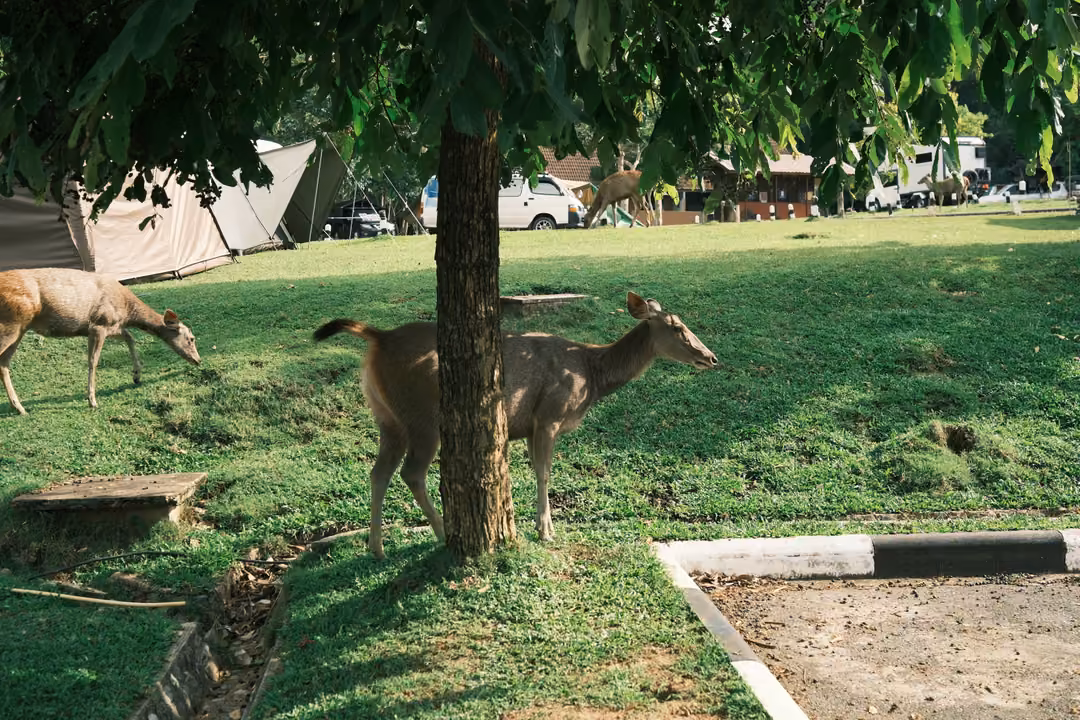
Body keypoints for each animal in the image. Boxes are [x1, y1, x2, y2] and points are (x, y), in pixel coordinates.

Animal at [0, 268, 201, 415]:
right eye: (191, 339)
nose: (198, 360)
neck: (127, 311)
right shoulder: (98, 324)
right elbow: (93, 361)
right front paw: (92, 400)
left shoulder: (111, 327)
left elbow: (130, 337)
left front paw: (136, 375)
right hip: (12, 322)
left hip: (19, 329)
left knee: (4, 364)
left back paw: (19, 407)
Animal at [314, 291, 717, 559]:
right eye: (677, 328)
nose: (710, 357)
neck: (590, 375)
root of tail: (378, 339)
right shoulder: (549, 414)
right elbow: (544, 472)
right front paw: (546, 531)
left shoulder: (524, 427)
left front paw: (529, 524)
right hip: (422, 415)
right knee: (411, 472)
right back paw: (441, 533)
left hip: (387, 416)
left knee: (378, 472)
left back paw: (376, 547)